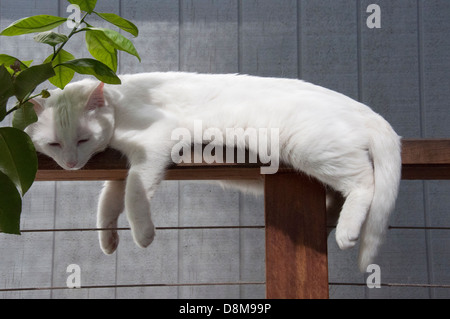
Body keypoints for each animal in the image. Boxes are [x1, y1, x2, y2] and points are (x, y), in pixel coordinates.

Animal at [26, 73, 402, 272]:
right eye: (54, 144)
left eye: (82, 139)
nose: (71, 163)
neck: (119, 103)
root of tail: (362, 107)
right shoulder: (122, 166)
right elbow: (109, 199)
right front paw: (108, 241)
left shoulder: (155, 141)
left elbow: (134, 192)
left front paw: (143, 234)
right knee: (339, 195)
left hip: (311, 147)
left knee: (363, 182)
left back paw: (346, 233)